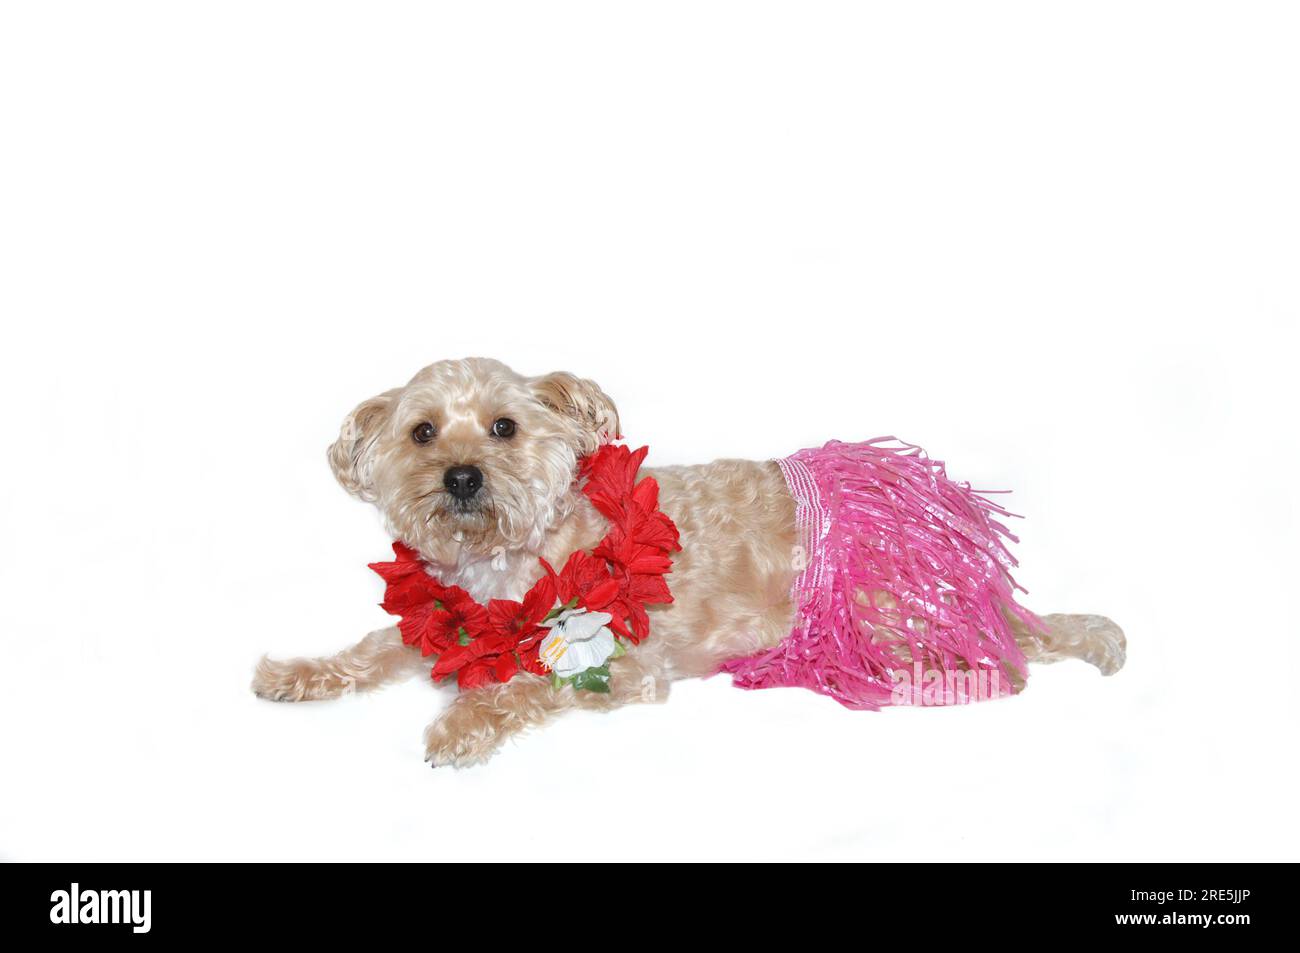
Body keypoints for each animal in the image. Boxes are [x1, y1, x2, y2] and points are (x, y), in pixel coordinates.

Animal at [253, 356, 1128, 764]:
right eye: (422, 431)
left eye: (504, 426)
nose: (461, 476)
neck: (507, 559)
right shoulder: (441, 621)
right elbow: (371, 648)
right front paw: (299, 672)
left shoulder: (621, 666)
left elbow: (522, 685)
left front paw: (461, 722)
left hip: (886, 621)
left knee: (1004, 661)